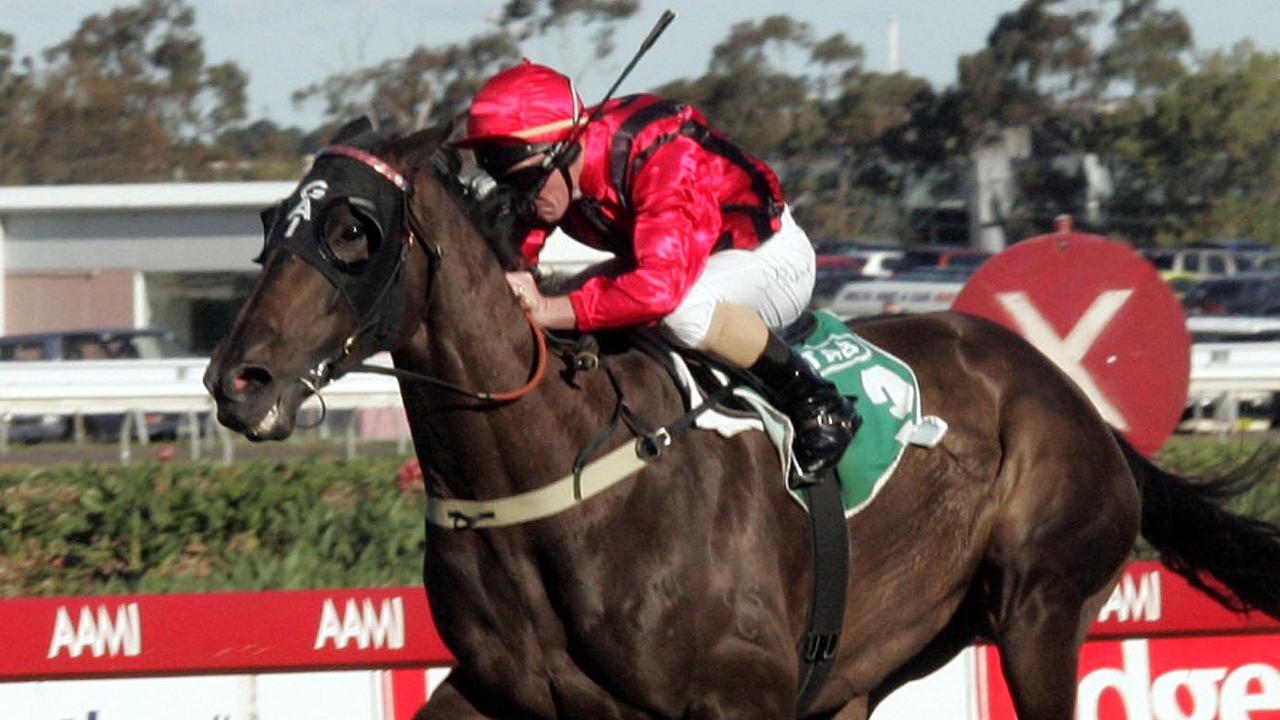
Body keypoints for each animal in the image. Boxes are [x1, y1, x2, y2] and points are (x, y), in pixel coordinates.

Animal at [204, 120, 1280, 712]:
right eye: (267, 225)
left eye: (352, 229)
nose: (237, 380)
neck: (554, 473)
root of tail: (1074, 400)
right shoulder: (499, 690)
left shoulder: (740, 693)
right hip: (873, 661)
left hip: (1039, 609)